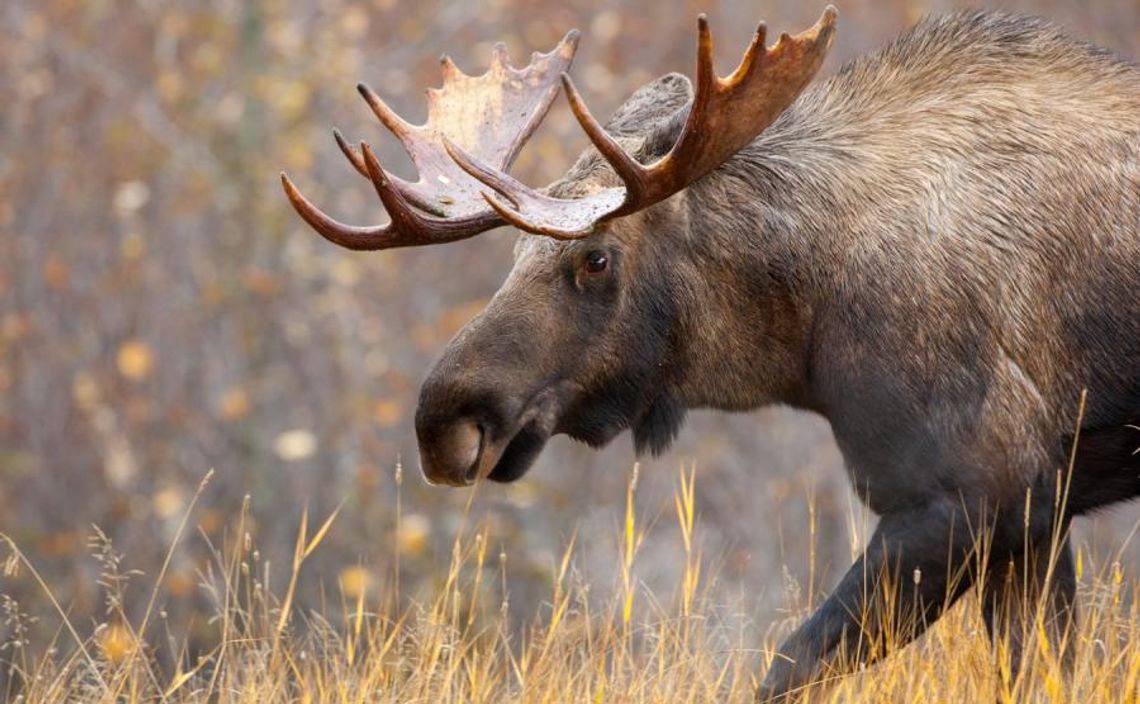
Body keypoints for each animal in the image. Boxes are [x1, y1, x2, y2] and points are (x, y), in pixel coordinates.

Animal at [278, 5, 1140, 697]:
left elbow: (789, 665)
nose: (443, 421)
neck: (805, 329)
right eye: (512, 254)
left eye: (596, 258)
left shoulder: (969, 493)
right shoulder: (1035, 517)